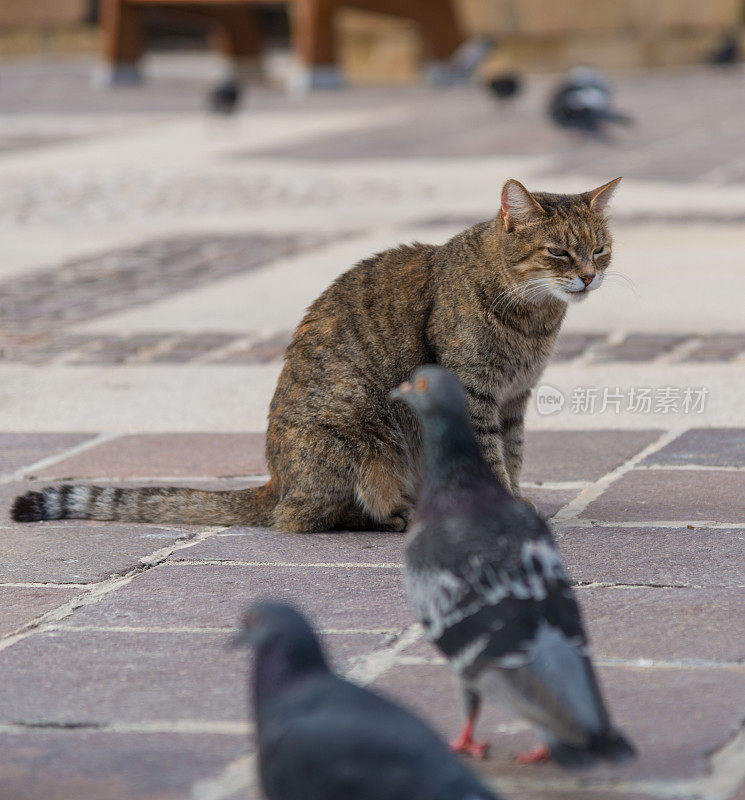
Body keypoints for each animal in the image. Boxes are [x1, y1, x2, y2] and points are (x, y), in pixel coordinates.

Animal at [11, 180, 620, 532]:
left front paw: (516, 501)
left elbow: (512, 457)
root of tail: (277, 482)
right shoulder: (474, 394)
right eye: (558, 251)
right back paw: (398, 515)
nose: (589, 277)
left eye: (601, 250)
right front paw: (502, 511)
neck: (533, 319)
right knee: (307, 518)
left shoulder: (514, 398)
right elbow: (490, 460)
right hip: (366, 441)